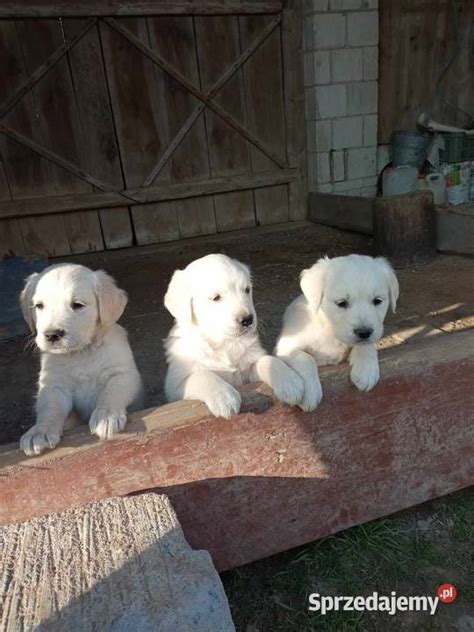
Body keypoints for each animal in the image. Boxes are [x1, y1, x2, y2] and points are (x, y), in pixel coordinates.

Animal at [18, 264, 143, 456]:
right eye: (39, 306)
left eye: (77, 305)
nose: (52, 334)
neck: (81, 353)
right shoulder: (54, 386)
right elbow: (50, 409)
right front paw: (40, 431)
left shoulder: (123, 374)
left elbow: (112, 392)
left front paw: (106, 415)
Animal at [163, 252, 304, 420]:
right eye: (216, 297)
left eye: (247, 290)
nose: (248, 320)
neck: (224, 342)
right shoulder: (175, 386)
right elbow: (201, 375)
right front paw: (223, 397)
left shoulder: (248, 368)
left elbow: (268, 360)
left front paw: (290, 381)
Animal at [276, 254, 398, 412]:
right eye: (341, 303)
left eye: (377, 301)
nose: (364, 332)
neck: (329, 330)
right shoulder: (285, 347)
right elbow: (306, 358)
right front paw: (310, 392)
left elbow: (366, 345)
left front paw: (366, 370)